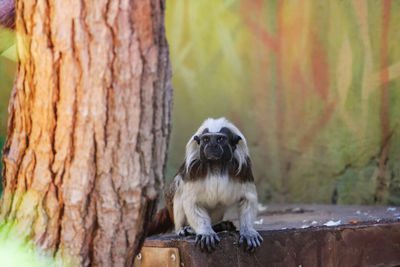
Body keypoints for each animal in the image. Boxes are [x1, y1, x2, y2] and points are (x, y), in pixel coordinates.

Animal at [147, 119, 262, 253]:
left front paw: (248, 231)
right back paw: (186, 229)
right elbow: (191, 201)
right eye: (206, 139)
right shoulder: (193, 170)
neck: (216, 165)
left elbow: (248, 198)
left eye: (220, 139)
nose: (212, 146)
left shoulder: (243, 170)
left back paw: (220, 226)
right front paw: (206, 232)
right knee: (179, 185)